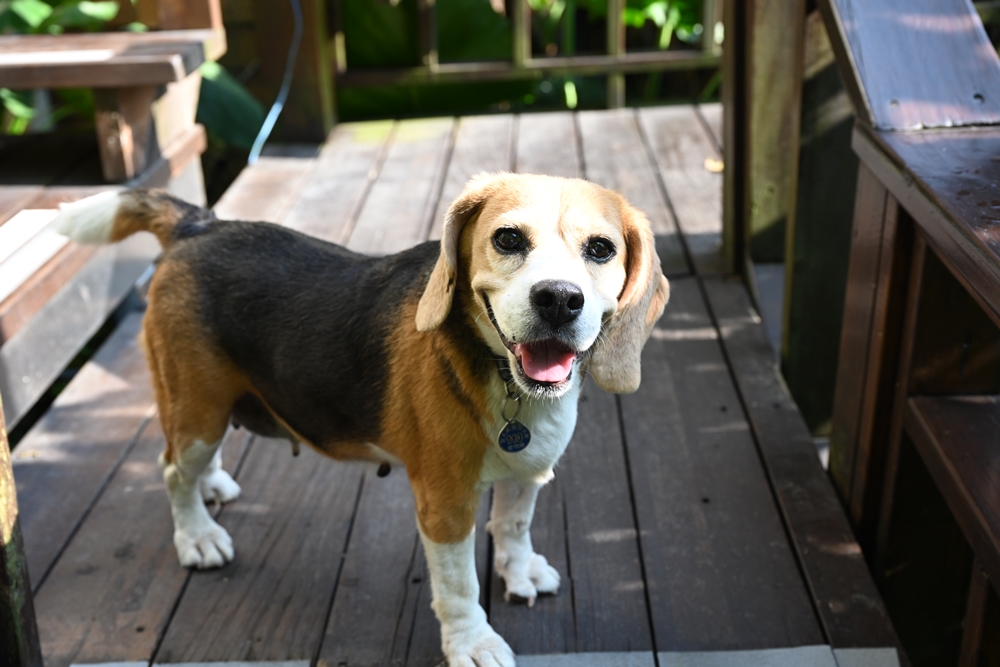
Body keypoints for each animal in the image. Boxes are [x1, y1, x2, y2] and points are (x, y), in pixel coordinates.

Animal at [50, 174, 668, 667]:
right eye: (509, 239)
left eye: (601, 249)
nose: (559, 299)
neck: (509, 384)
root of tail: (200, 226)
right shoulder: (445, 505)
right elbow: (459, 586)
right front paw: (473, 643)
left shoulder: (528, 473)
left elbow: (514, 526)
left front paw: (518, 571)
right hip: (196, 405)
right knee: (173, 469)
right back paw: (197, 535)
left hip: (209, 407)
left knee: (191, 462)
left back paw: (214, 486)